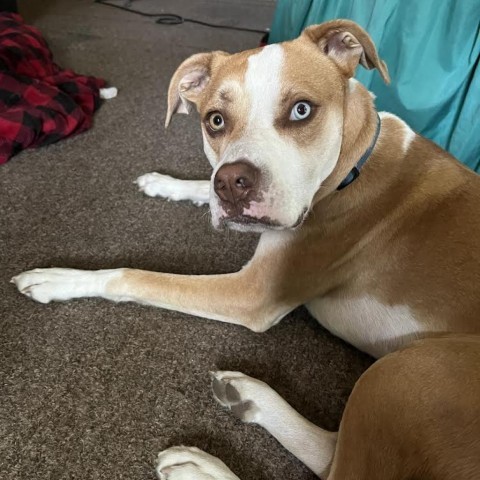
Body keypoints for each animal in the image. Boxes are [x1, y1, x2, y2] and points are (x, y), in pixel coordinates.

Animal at [11, 19, 480, 480]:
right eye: (215, 120)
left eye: (301, 110)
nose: (231, 183)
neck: (355, 166)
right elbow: (199, 188)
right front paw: (165, 182)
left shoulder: (254, 293)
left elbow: (134, 276)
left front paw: (59, 278)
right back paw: (248, 395)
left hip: (403, 372)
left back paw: (201, 467)